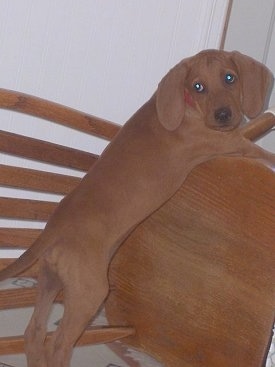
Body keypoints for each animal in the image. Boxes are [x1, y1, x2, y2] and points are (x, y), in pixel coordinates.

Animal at [0, 49, 275, 367]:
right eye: (198, 86)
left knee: (33, 333)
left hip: (50, 279)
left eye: (230, 78)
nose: (223, 115)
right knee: (58, 343)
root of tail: (51, 231)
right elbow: (262, 150)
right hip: (89, 293)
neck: (185, 105)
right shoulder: (227, 142)